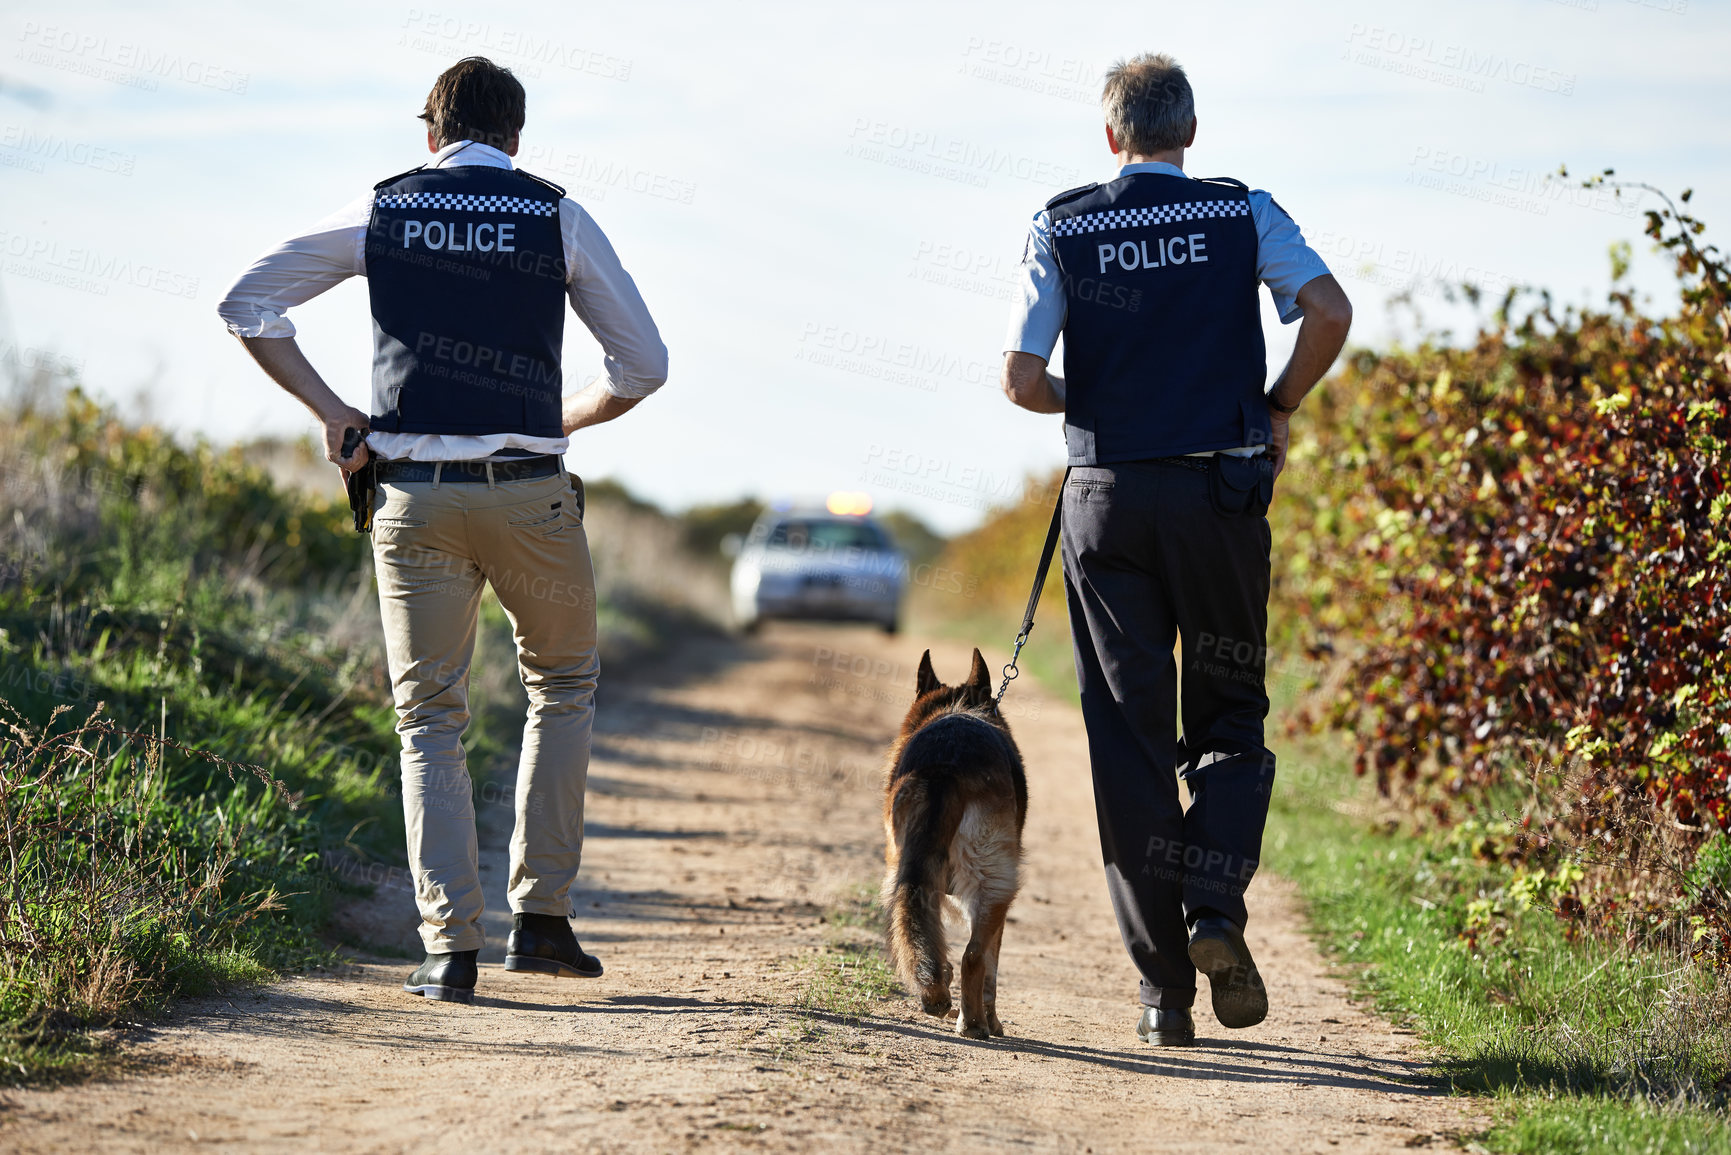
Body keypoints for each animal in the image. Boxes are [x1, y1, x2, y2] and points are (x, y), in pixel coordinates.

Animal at [879, 651, 1024, 1038]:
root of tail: (944, 766)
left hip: (906, 870)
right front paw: (992, 1021)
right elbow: (992, 966)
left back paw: (937, 997)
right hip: (996, 885)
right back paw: (973, 1023)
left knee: (916, 918)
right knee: (975, 957)